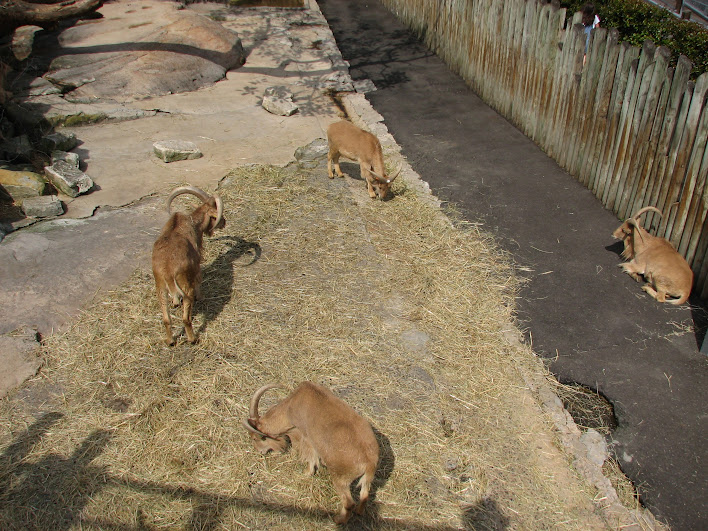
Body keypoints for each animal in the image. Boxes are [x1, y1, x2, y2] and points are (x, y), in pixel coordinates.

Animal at [152, 186, 225, 345]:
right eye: (216, 214)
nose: (224, 222)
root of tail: (168, 271)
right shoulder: (196, 266)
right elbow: (199, 280)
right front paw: (201, 297)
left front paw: (175, 302)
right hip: (185, 286)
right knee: (186, 319)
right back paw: (192, 339)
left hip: (160, 286)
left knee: (166, 319)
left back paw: (171, 341)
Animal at [243, 382, 379, 525]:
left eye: (255, 438)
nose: (261, 452)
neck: (291, 405)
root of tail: (370, 461)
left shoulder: (305, 436)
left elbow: (310, 456)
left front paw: (306, 473)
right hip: (366, 480)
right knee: (364, 494)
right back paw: (359, 512)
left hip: (340, 479)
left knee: (348, 503)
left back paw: (338, 519)